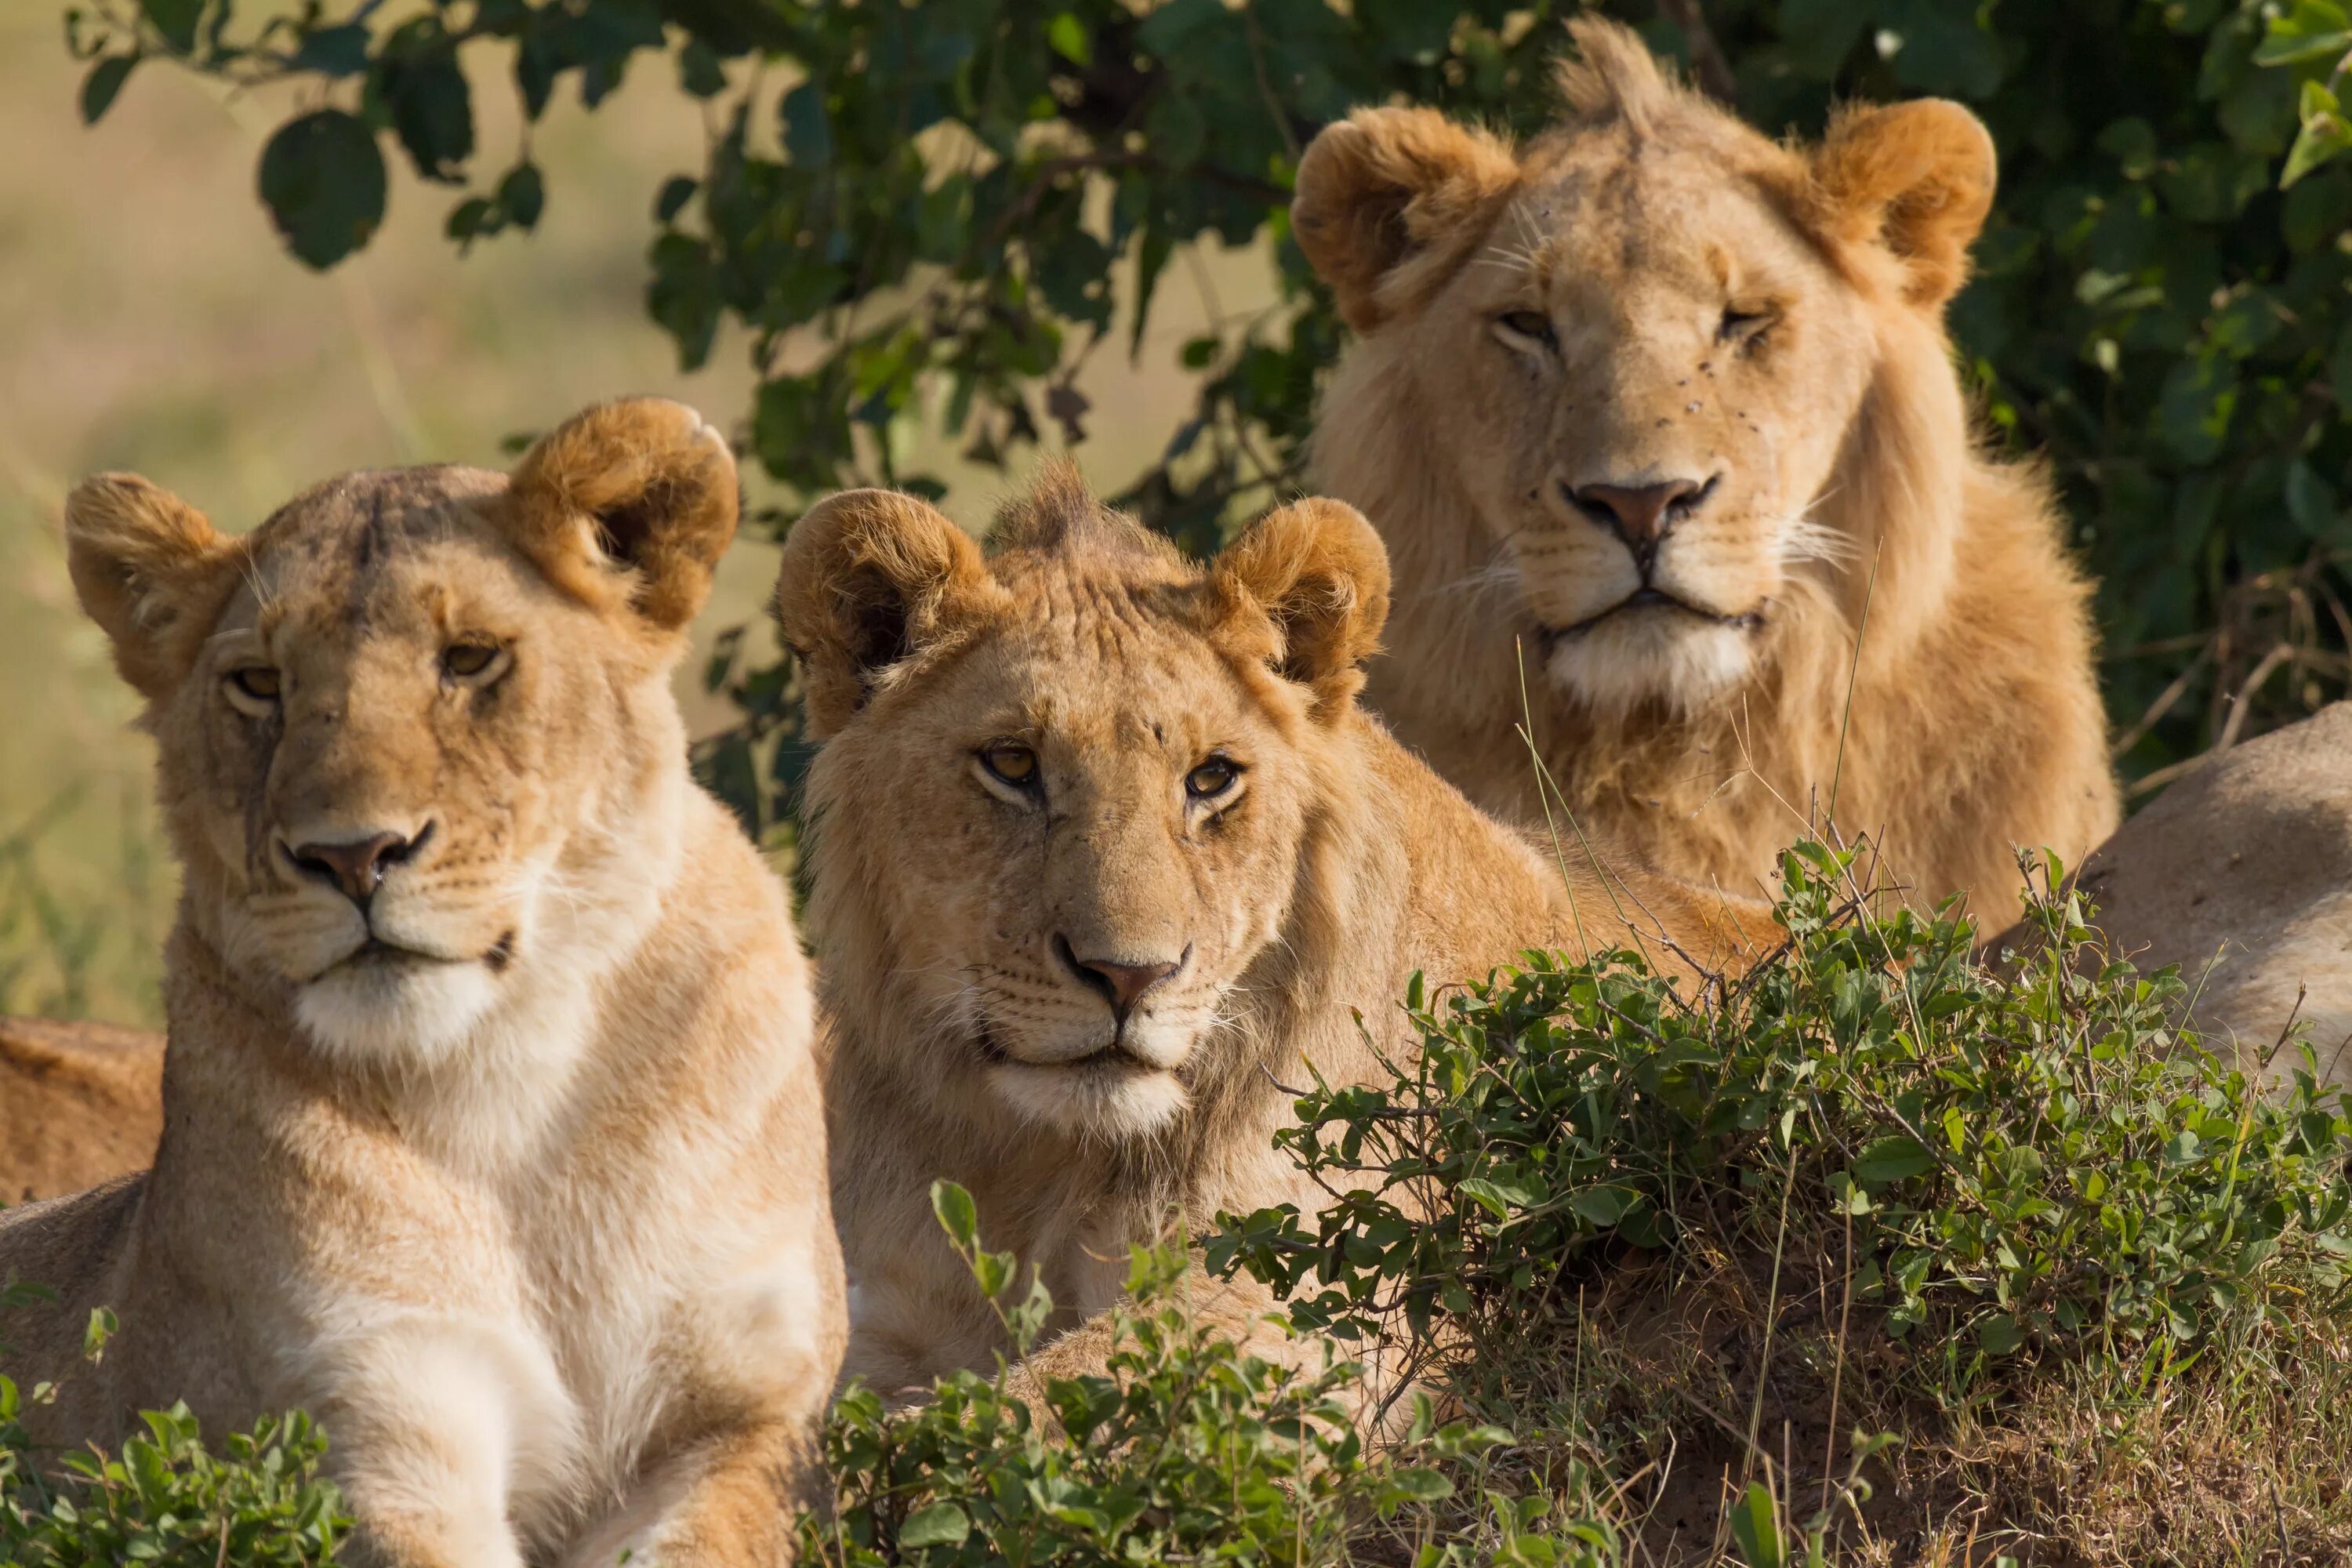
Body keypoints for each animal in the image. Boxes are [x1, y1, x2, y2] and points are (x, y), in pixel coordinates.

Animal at [0, 399, 847, 1568]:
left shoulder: (749, 1411)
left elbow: (704, 1536)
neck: (515, 1091)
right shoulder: (371, 1413)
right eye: (260, 685)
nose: (352, 856)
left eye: (470, 658)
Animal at [776, 470, 1769, 1410]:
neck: (1037, 1163)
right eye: (1012, 764)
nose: (1128, 976)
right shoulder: (884, 1308)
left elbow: (1020, 1412)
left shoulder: (1308, 1294)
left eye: (1211, 777)